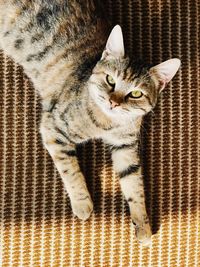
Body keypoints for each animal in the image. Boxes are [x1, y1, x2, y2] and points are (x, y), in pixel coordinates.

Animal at [0, 0, 180, 247]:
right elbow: (71, 170)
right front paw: (82, 203)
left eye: (135, 93)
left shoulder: (125, 146)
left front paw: (142, 225)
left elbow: (134, 183)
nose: (114, 102)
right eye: (110, 80)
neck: (108, 123)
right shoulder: (53, 127)